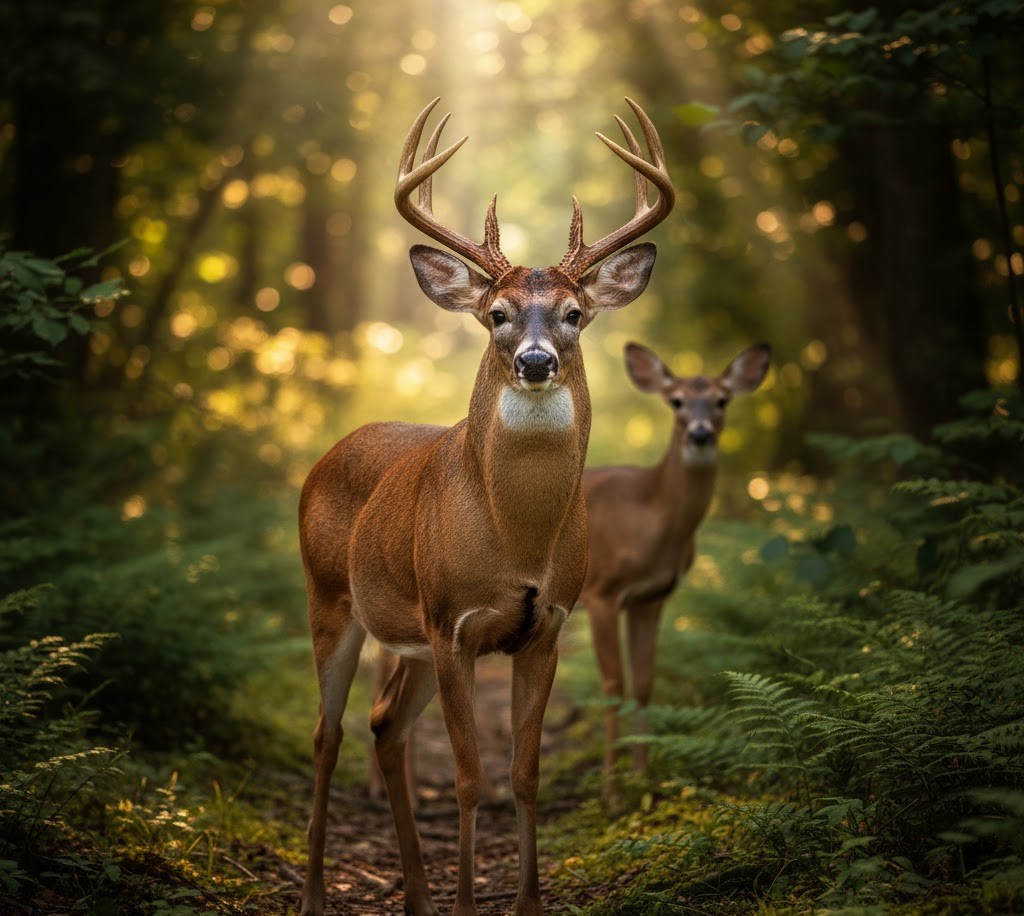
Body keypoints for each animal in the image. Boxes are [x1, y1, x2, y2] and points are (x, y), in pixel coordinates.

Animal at [298, 97, 674, 916]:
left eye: (574, 313)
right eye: (497, 313)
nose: (535, 360)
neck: (516, 536)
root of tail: (332, 451)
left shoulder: (547, 625)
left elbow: (523, 776)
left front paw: (527, 901)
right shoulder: (453, 623)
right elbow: (470, 779)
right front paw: (471, 901)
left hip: (406, 640)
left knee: (383, 725)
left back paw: (416, 895)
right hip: (330, 598)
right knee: (328, 732)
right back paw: (313, 894)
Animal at [578, 340, 771, 802]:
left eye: (722, 400)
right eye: (677, 401)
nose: (700, 434)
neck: (650, 515)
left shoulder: (650, 597)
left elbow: (645, 681)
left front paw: (642, 778)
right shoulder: (600, 592)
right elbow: (613, 686)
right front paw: (611, 795)